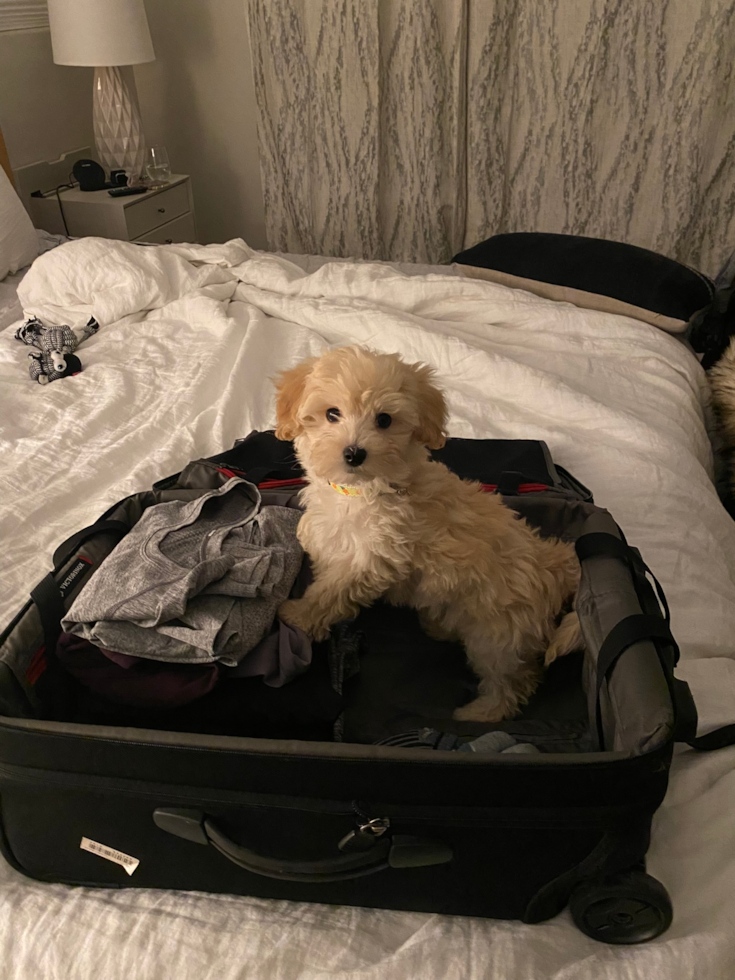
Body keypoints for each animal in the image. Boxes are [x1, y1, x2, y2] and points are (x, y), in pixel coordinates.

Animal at [274, 348, 580, 724]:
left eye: (385, 420)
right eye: (332, 413)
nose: (354, 453)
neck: (361, 492)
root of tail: (551, 562)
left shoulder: (372, 559)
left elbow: (330, 594)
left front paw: (299, 616)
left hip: (498, 634)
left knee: (512, 681)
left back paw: (480, 712)